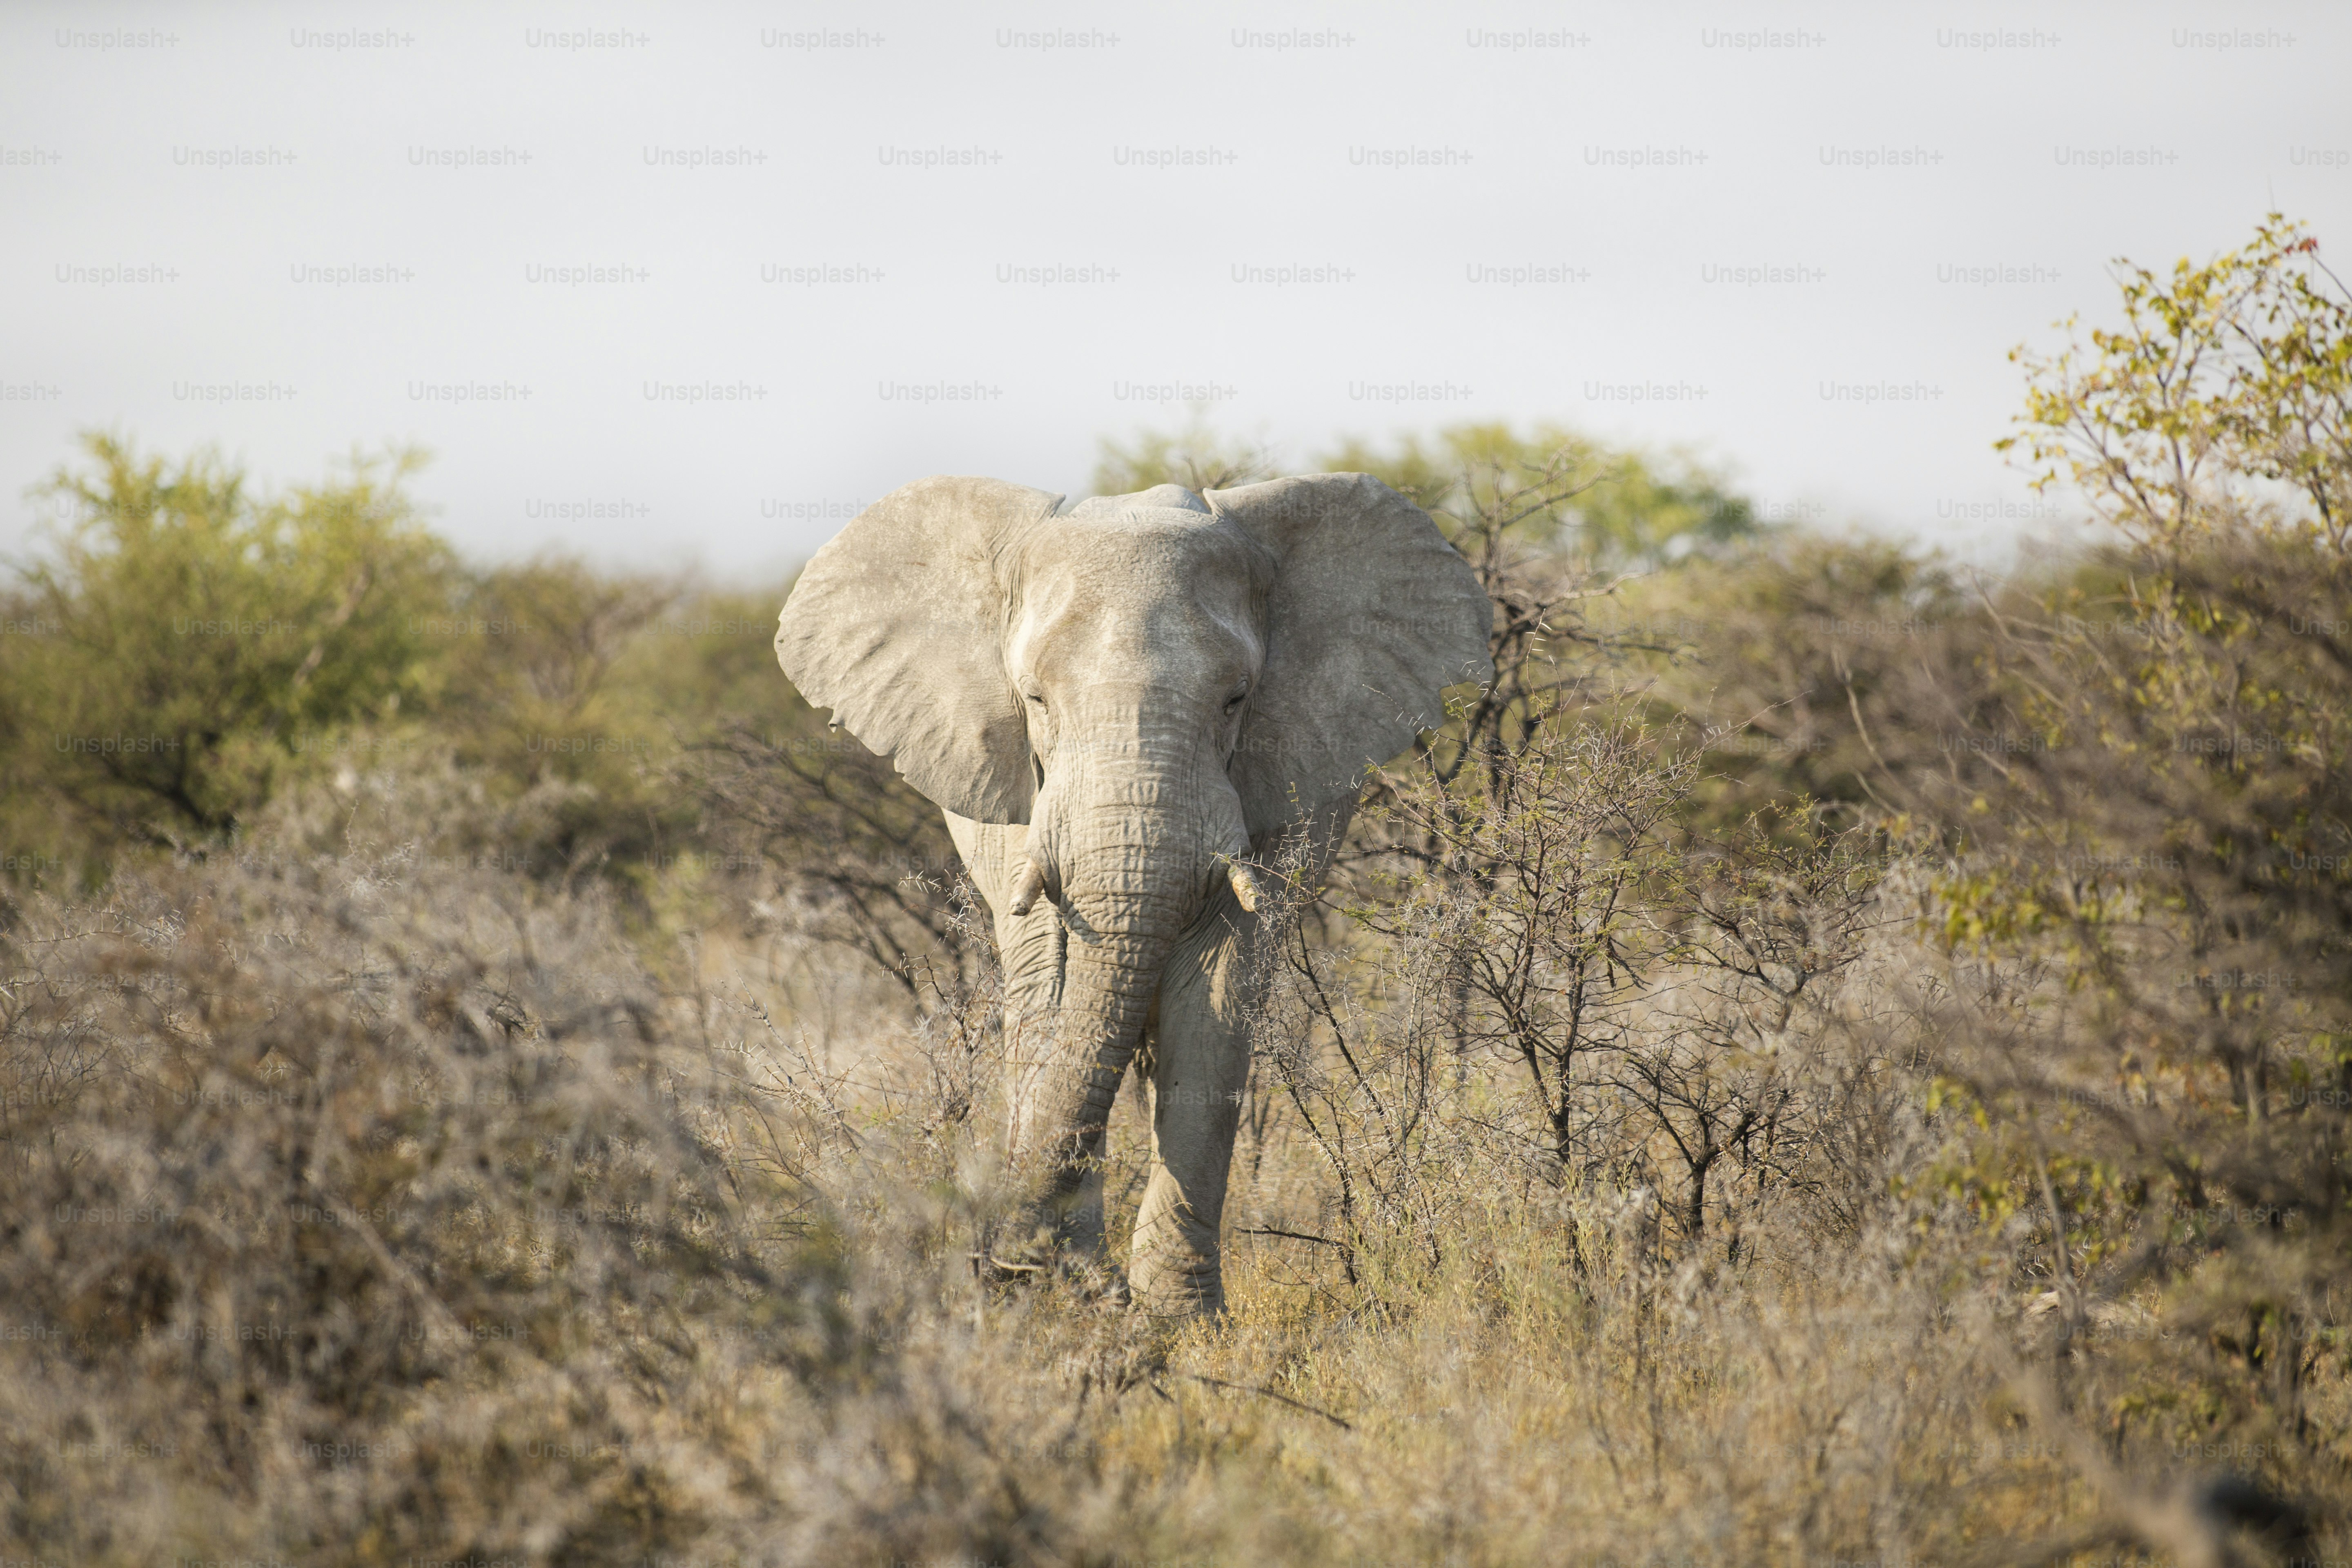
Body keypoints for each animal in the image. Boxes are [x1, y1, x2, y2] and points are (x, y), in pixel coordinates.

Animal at [773, 472, 1492, 1315]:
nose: (994, 1262)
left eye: (1236, 699)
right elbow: (1053, 991)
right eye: (1035, 701)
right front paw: (1067, 1291)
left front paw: (1176, 1318)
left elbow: (1215, 1005)